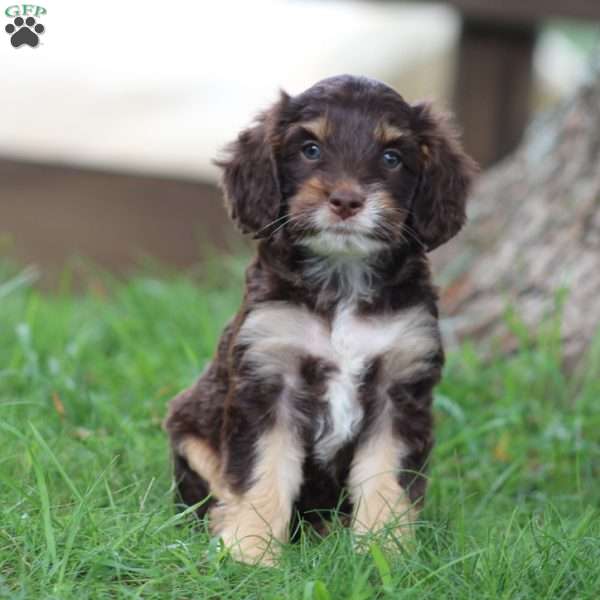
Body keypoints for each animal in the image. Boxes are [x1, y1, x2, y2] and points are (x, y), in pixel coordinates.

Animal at [163, 72, 474, 564]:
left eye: (392, 157)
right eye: (310, 149)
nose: (346, 201)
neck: (342, 283)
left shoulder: (398, 391)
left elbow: (385, 481)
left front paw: (385, 554)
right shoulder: (269, 381)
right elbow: (263, 474)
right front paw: (250, 552)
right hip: (188, 427)